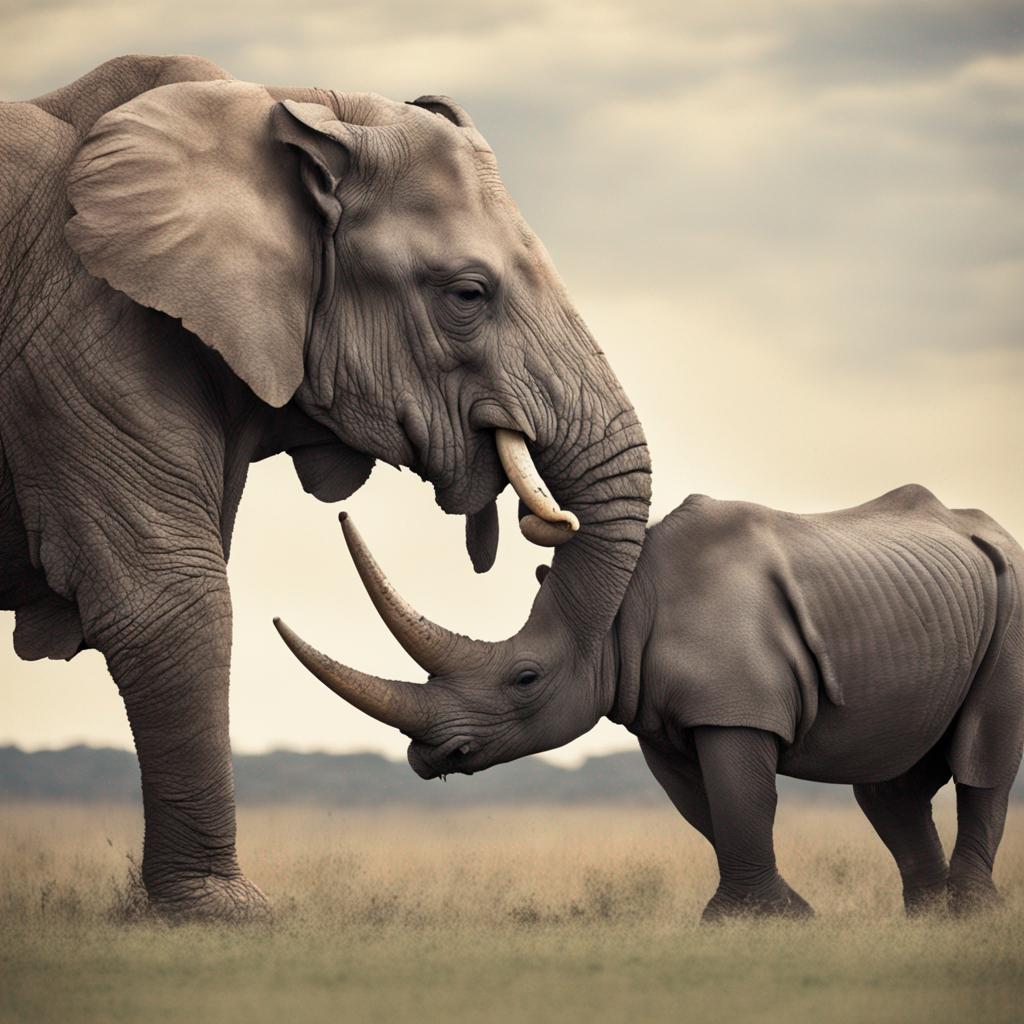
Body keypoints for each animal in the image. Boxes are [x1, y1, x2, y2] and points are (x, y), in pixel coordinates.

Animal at [0, 55, 651, 918]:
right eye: (467, 294)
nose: (435, 758)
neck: (276, 106)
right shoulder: (85, 335)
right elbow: (173, 594)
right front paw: (225, 913)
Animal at [278, 484, 1023, 920]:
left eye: (526, 678)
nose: (425, 755)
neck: (623, 611)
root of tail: (995, 532)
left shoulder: (734, 708)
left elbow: (740, 800)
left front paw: (757, 922)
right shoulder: (662, 722)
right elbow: (710, 811)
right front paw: (780, 914)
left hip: (1013, 590)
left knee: (980, 752)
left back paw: (971, 918)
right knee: (889, 778)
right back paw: (926, 920)